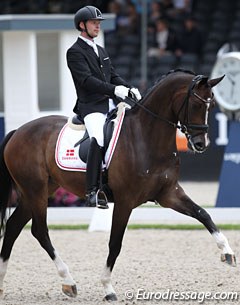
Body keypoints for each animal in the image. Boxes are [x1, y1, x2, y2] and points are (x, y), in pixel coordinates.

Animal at [0, 69, 236, 300]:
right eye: (196, 104)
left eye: (211, 106)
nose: (200, 144)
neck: (146, 137)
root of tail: (17, 132)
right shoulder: (125, 201)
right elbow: (115, 242)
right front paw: (107, 287)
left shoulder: (169, 194)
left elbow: (203, 214)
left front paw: (227, 252)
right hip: (36, 191)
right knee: (39, 231)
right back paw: (68, 281)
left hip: (39, 191)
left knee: (13, 226)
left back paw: (2, 283)